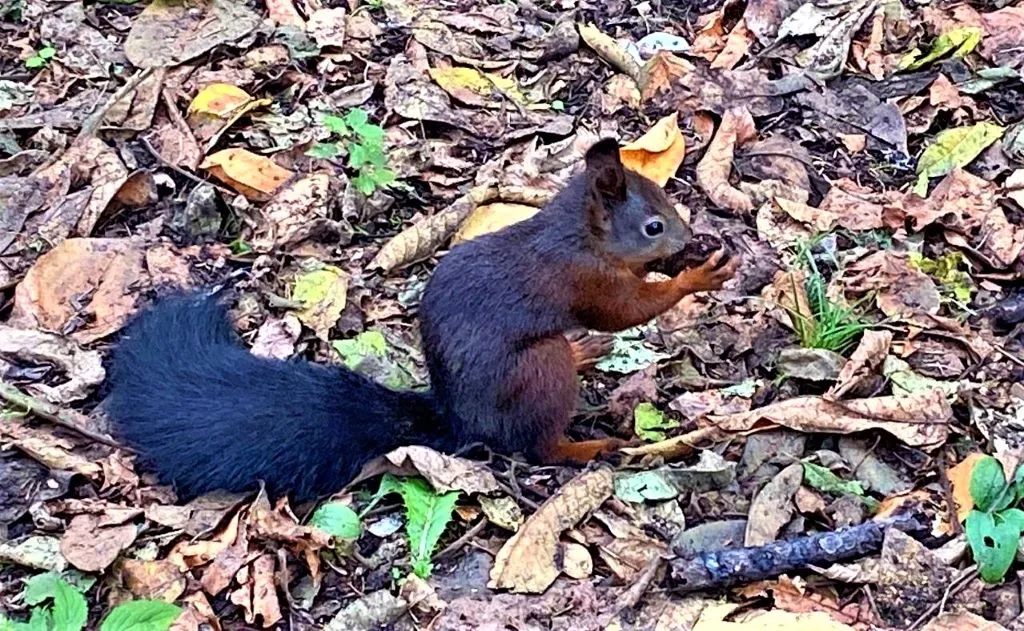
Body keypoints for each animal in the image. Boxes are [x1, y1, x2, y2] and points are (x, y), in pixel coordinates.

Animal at [108, 135, 741, 499]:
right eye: (653, 226)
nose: (686, 237)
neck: (580, 235)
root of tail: (459, 423)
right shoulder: (584, 278)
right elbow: (624, 310)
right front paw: (697, 277)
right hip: (538, 372)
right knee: (538, 447)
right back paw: (588, 447)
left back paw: (583, 356)